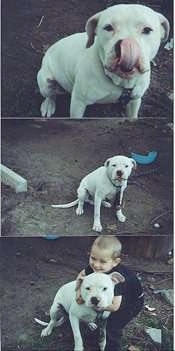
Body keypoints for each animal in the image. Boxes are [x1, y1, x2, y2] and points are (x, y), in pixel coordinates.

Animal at [37, 4, 170, 119]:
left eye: (147, 30)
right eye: (108, 28)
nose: (126, 44)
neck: (120, 81)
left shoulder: (135, 100)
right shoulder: (78, 102)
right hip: (45, 82)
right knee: (50, 94)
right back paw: (48, 105)